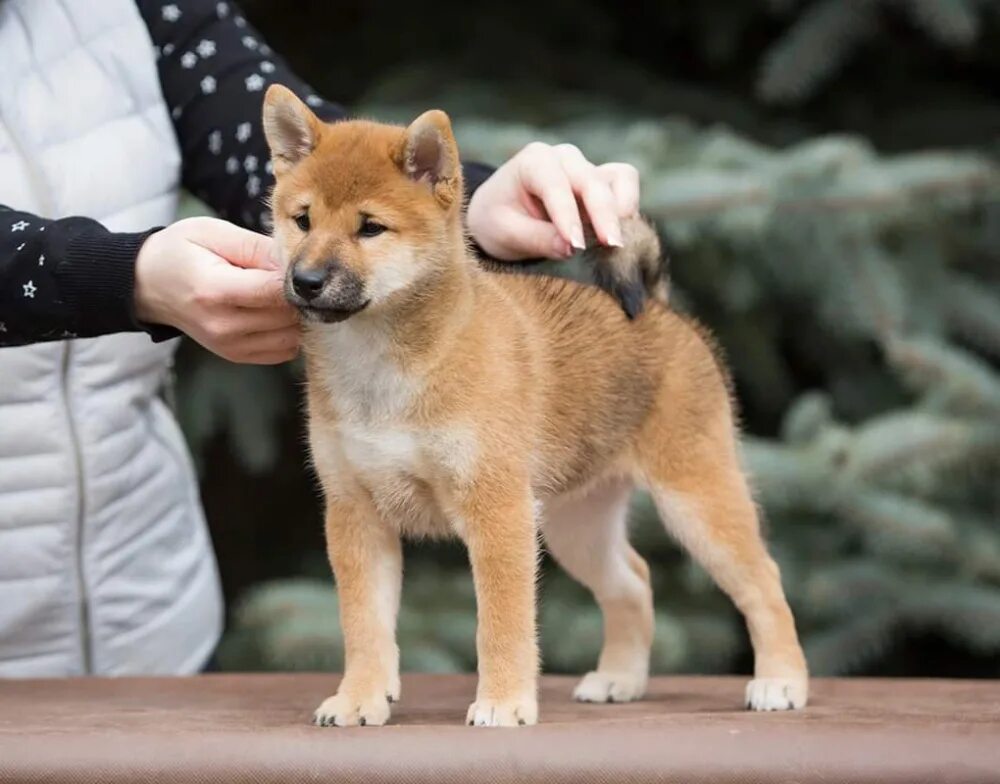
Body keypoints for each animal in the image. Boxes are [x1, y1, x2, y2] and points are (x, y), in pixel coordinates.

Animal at [262, 86, 808, 728]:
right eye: (302, 220)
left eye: (370, 228)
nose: (306, 279)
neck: (384, 369)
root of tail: (657, 308)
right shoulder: (355, 511)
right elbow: (364, 625)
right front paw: (359, 699)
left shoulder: (498, 511)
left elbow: (501, 625)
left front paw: (502, 703)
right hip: (576, 523)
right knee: (634, 581)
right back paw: (620, 678)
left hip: (696, 500)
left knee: (764, 581)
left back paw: (781, 681)